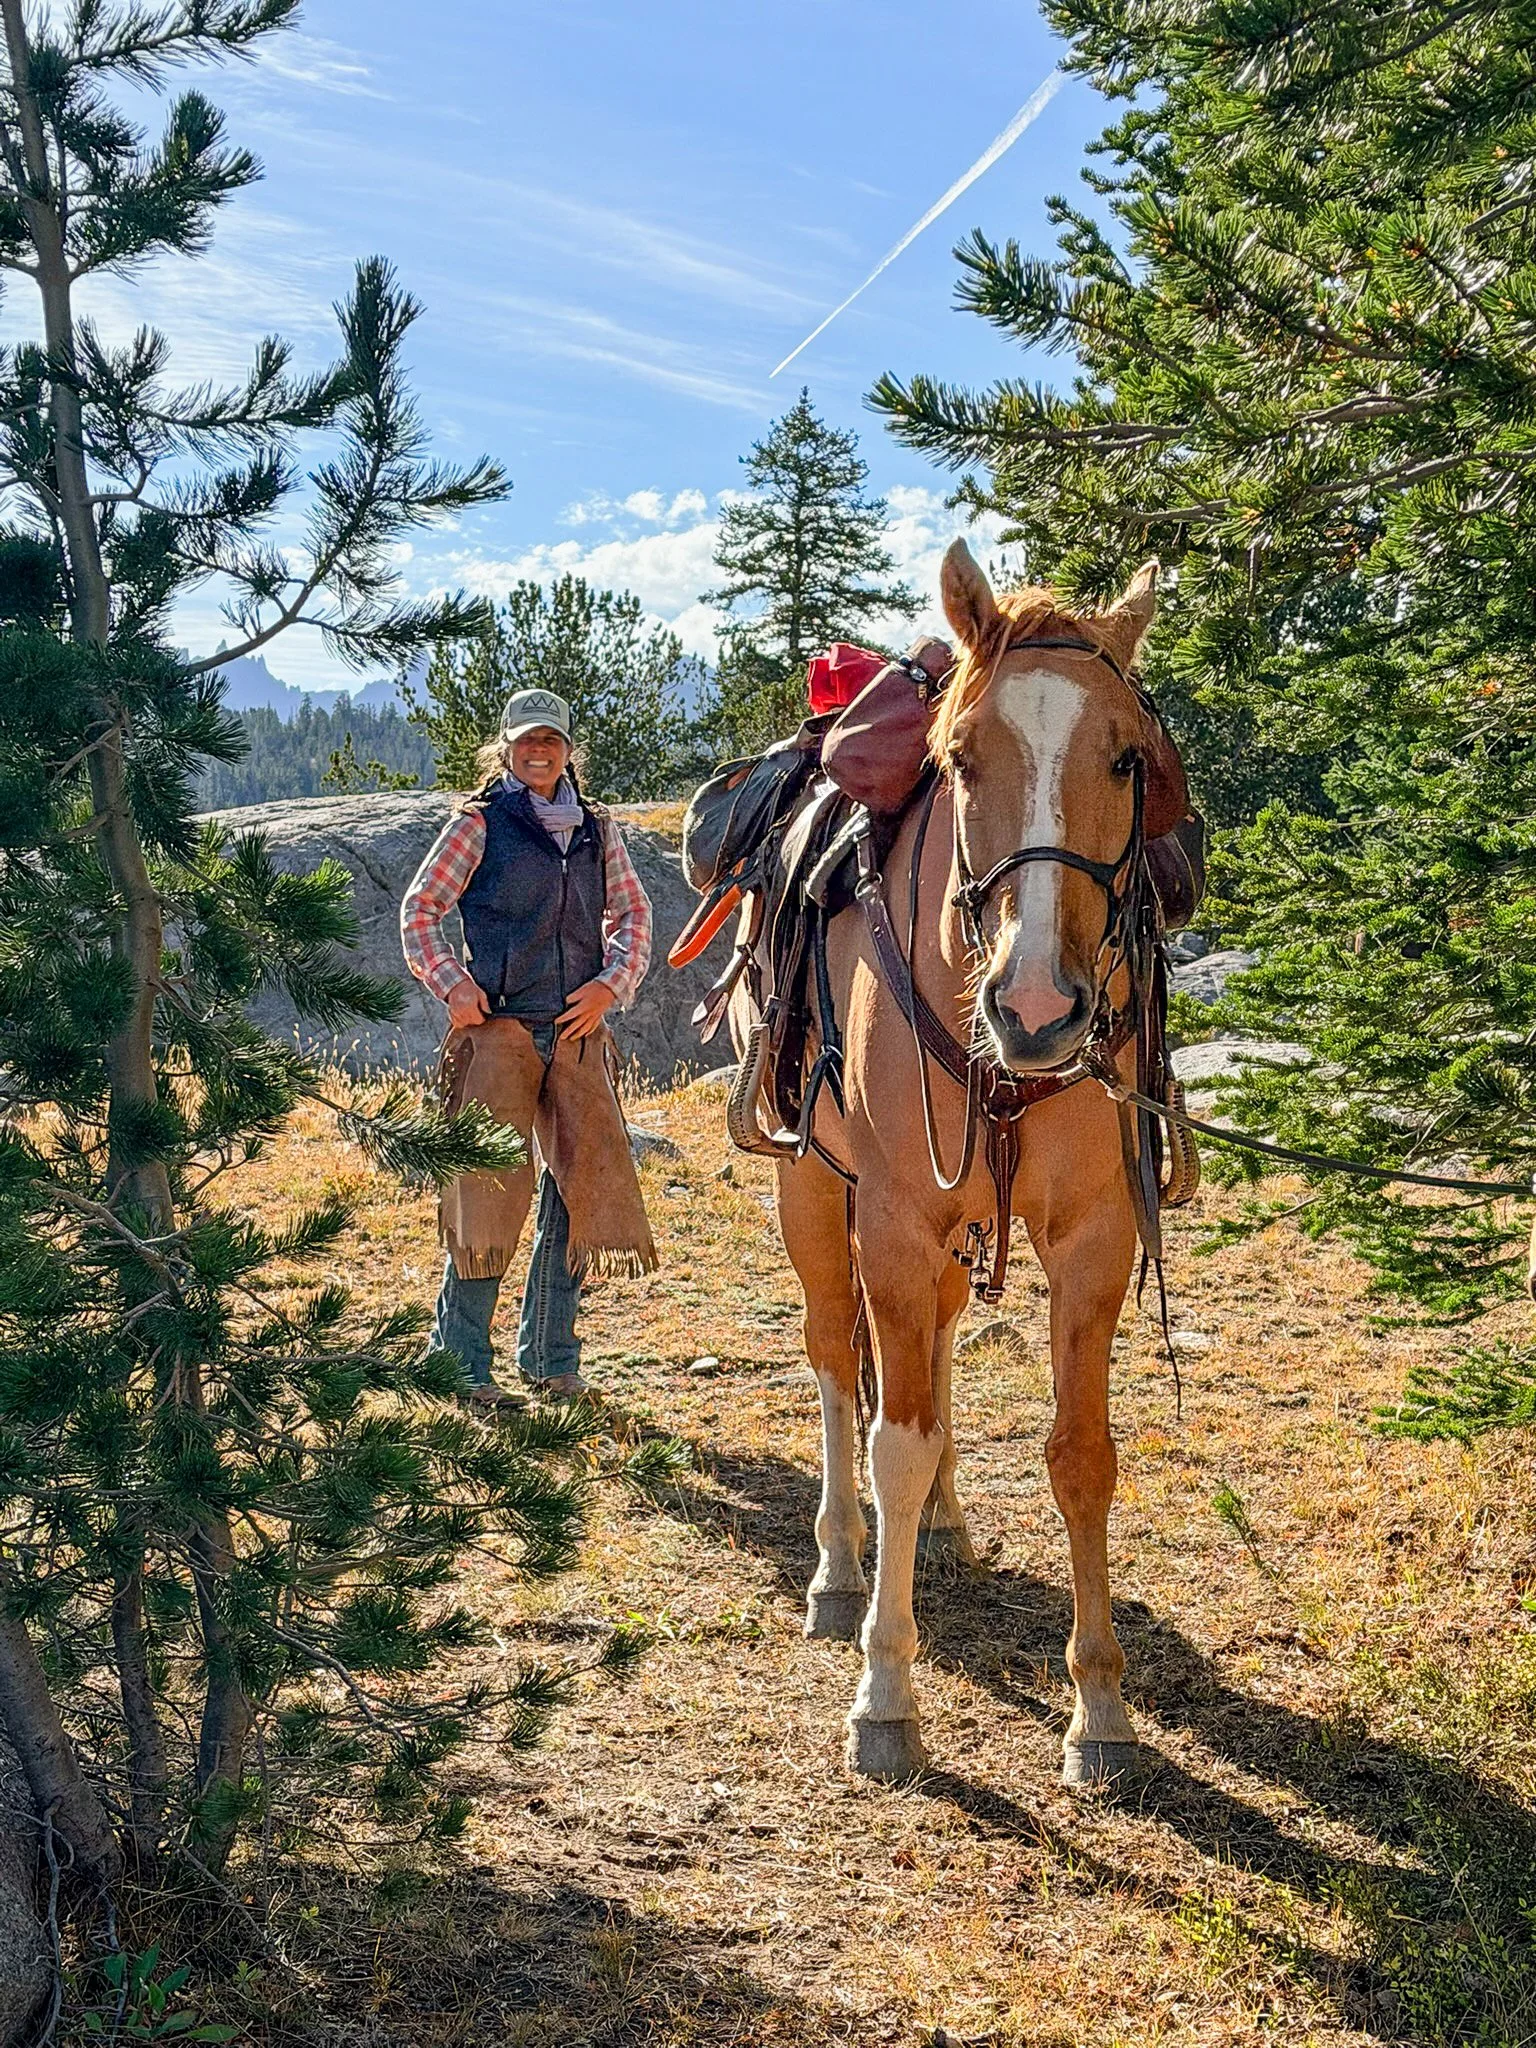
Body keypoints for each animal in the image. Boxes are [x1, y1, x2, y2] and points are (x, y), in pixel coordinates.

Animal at [761, 538, 1166, 1783]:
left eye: (1127, 755)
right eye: (961, 757)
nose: (1036, 1007)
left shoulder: (1093, 1236)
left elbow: (1081, 1452)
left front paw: (1102, 1706)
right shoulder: (890, 1221)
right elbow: (891, 1439)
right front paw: (885, 1691)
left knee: (931, 1351)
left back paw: (940, 1523)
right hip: (811, 1191)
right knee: (836, 1358)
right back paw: (841, 1565)